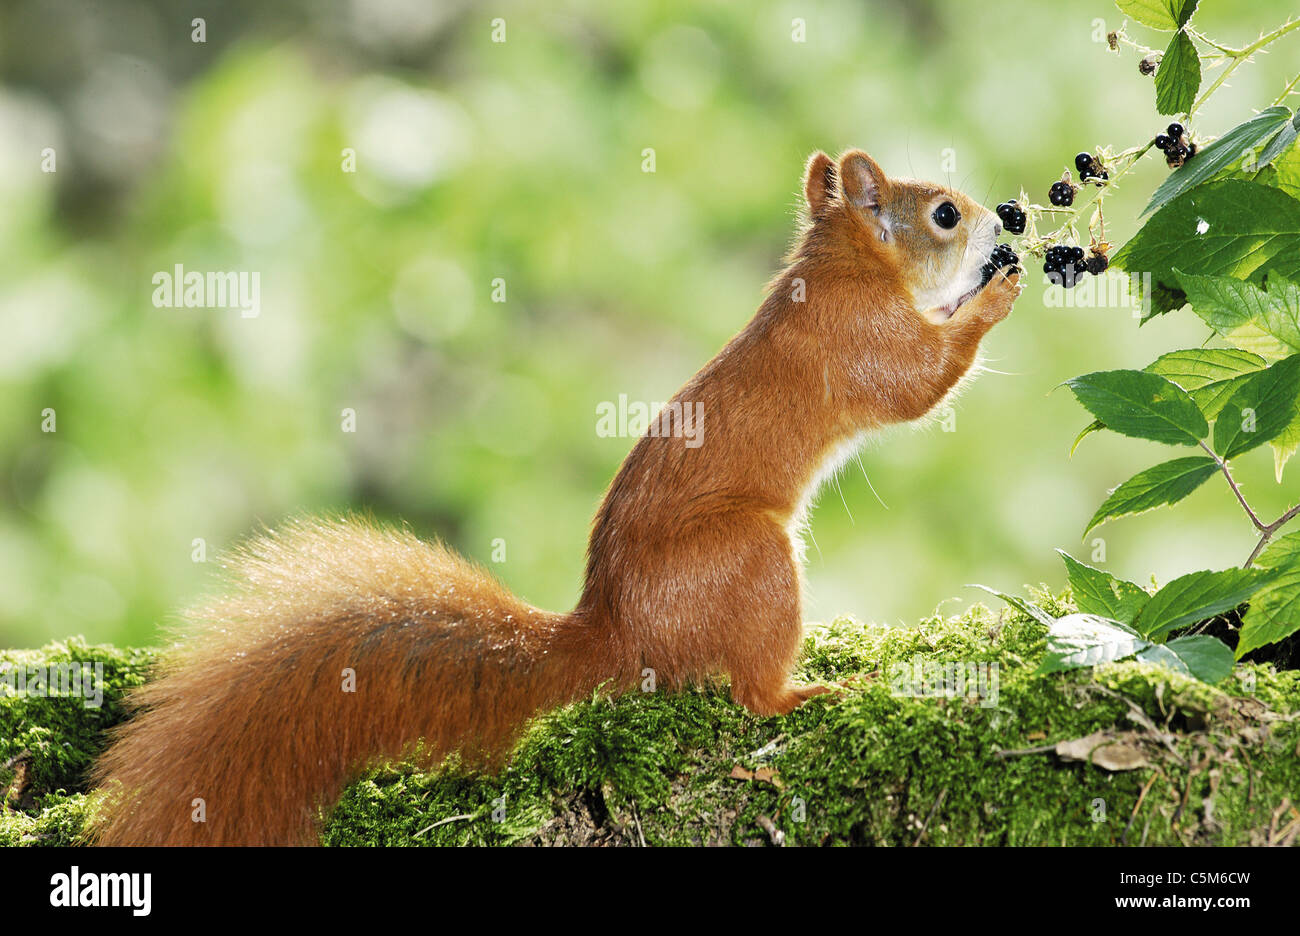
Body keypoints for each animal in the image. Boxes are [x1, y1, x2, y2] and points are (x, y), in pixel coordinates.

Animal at [91, 149, 1020, 845]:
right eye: (945, 213)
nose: (1009, 220)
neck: (844, 266)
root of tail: (617, 632)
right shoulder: (860, 338)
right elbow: (918, 385)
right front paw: (999, 294)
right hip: (752, 556)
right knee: (751, 694)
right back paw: (807, 692)